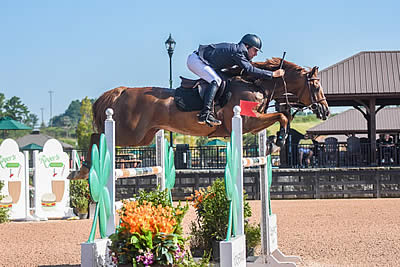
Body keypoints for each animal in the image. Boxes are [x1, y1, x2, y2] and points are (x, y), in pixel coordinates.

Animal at [70, 58, 330, 180]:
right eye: (316, 85)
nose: (325, 111)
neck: (257, 84)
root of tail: (121, 92)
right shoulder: (248, 121)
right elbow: (282, 116)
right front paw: (278, 141)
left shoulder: (254, 123)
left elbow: (281, 115)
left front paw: (272, 143)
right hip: (129, 133)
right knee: (97, 134)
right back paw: (83, 169)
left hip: (144, 137)